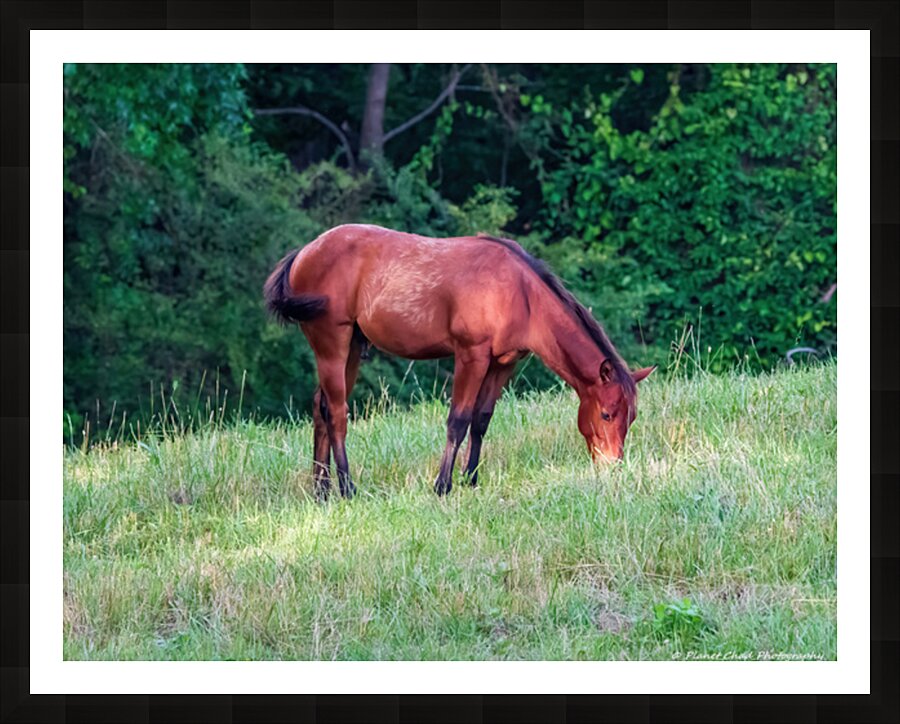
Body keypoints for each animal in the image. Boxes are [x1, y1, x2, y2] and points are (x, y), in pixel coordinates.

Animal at [264, 223, 655, 499]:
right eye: (606, 414)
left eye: (632, 417)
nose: (613, 465)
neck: (519, 292)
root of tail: (304, 253)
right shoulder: (471, 355)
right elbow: (459, 420)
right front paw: (442, 485)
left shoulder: (503, 363)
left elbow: (481, 420)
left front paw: (471, 479)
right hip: (332, 343)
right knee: (337, 412)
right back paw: (347, 488)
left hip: (353, 348)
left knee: (321, 408)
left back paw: (322, 490)